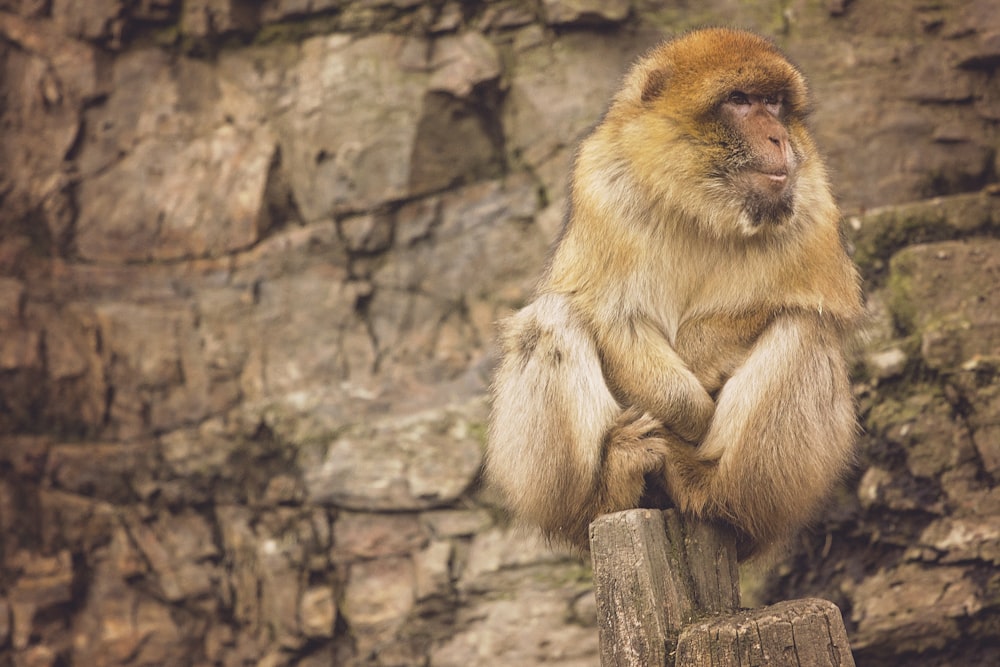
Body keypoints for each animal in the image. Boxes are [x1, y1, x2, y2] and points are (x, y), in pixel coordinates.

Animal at [482, 27, 860, 560]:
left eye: (775, 103)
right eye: (740, 101)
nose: (780, 138)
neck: (698, 204)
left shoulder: (811, 197)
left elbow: (803, 304)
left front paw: (700, 361)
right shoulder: (601, 183)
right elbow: (610, 314)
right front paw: (689, 408)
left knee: (805, 328)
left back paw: (713, 492)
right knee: (550, 318)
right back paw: (607, 489)